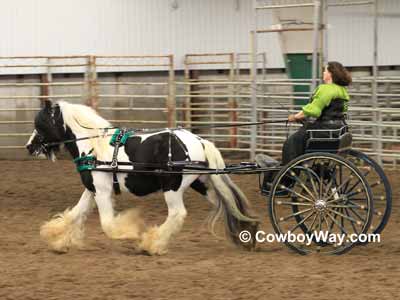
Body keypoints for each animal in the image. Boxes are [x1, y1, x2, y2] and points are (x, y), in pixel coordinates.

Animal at [27, 101, 260, 255]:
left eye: (40, 123)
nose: (29, 146)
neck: (93, 146)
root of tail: (200, 141)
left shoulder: (102, 191)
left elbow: (108, 224)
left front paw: (132, 233)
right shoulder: (92, 190)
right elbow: (76, 214)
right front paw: (57, 238)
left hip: (172, 187)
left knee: (177, 213)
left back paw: (152, 243)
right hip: (203, 184)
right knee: (226, 202)